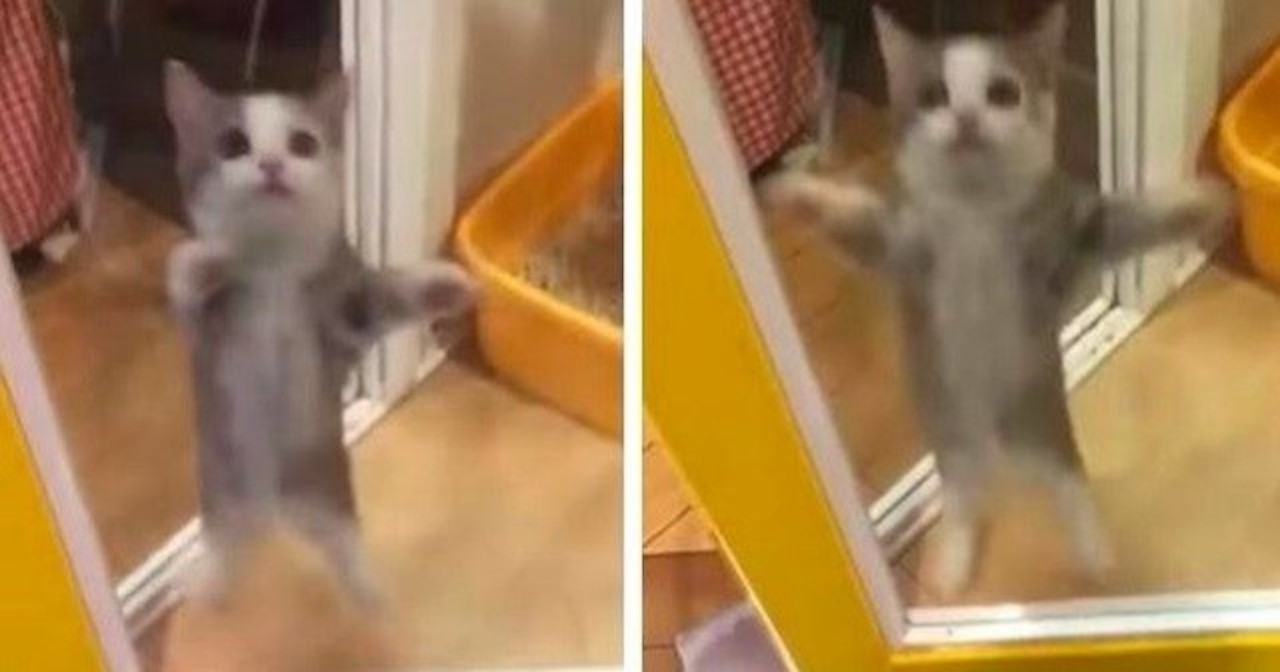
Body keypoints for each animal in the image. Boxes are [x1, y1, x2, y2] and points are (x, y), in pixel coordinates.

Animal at [163, 61, 475, 602]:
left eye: (303, 143)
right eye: (232, 144)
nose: (271, 165)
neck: (276, 263)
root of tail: (274, 509)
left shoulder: (341, 312)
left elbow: (377, 301)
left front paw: (442, 286)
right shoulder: (201, 331)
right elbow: (185, 275)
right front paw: (212, 256)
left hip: (328, 491)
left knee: (341, 545)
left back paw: (369, 594)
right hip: (224, 495)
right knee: (227, 550)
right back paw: (207, 586)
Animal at [762, 3, 1235, 597]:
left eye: (1003, 93)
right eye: (935, 95)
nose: (966, 118)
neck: (976, 213)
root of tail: (1000, 451)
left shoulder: (1068, 239)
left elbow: (1130, 217)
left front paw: (1202, 200)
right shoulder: (904, 249)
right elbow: (852, 222)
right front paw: (794, 193)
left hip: (1043, 424)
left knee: (1069, 483)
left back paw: (1094, 548)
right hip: (954, 441)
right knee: (965, 499)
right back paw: (954, 561)